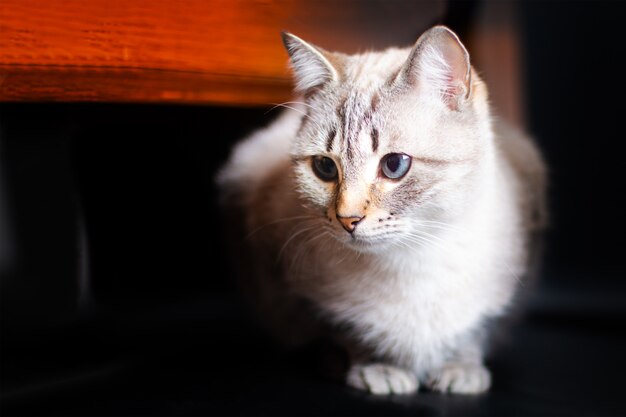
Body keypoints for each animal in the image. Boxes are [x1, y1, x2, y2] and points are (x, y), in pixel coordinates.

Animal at [216, 24, 544, 394]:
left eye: (394, 165)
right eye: (324, 168)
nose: (347, 219)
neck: (417, 259)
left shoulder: (502, 297)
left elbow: (474, 332)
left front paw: (460, 369)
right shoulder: (286, 279)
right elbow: (346, 330)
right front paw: (378, 368)